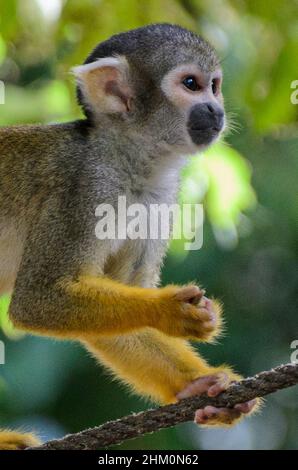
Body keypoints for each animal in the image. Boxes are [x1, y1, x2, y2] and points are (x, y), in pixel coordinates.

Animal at [0, 23, 258, 450]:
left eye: (214, 86)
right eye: (191, 84)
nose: (216, 109)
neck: (131, 163)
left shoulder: (160, 199)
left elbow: (112, 318)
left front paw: (199, 386)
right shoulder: (84, 188)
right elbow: (38, 299)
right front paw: (168, 311)